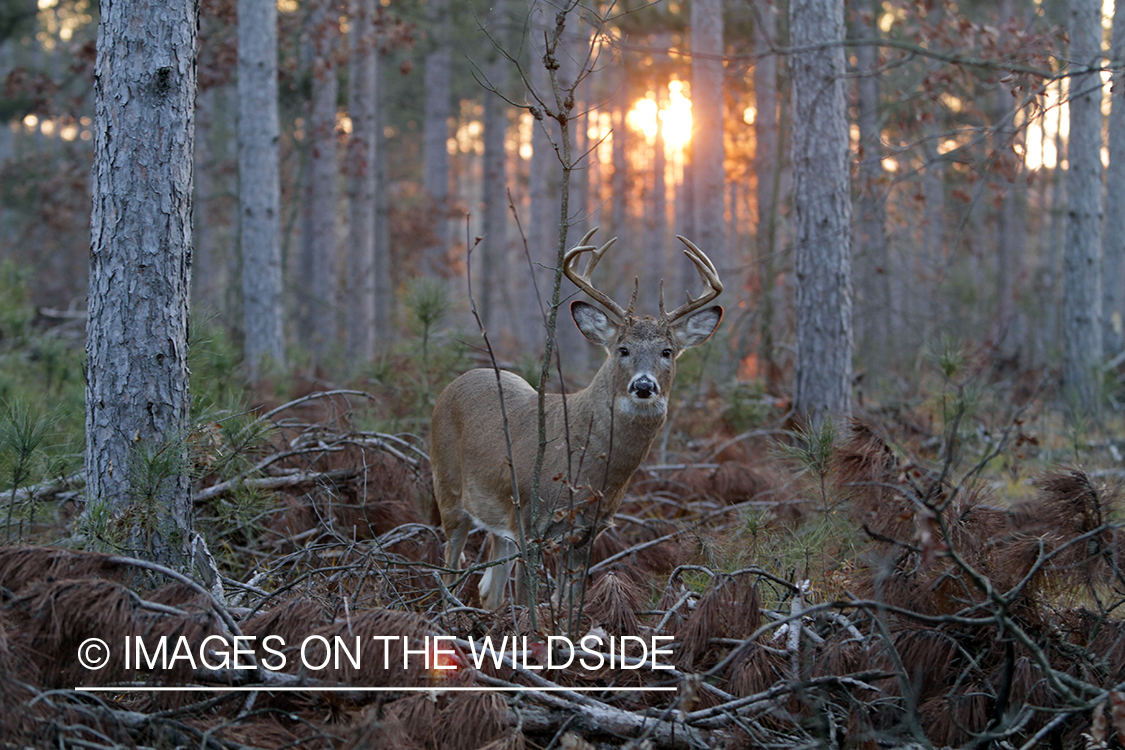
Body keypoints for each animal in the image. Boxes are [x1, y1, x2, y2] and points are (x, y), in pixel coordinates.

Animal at [429, 229, 720, 611]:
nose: (644, 385)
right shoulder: (531, 522)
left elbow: (571, 600)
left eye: (667, 351)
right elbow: (527, 601)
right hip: (447, 491)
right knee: (450, 569)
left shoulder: (588, 531)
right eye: (623, 349)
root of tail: (453, 384)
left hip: (497, 517)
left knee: (489, 586)